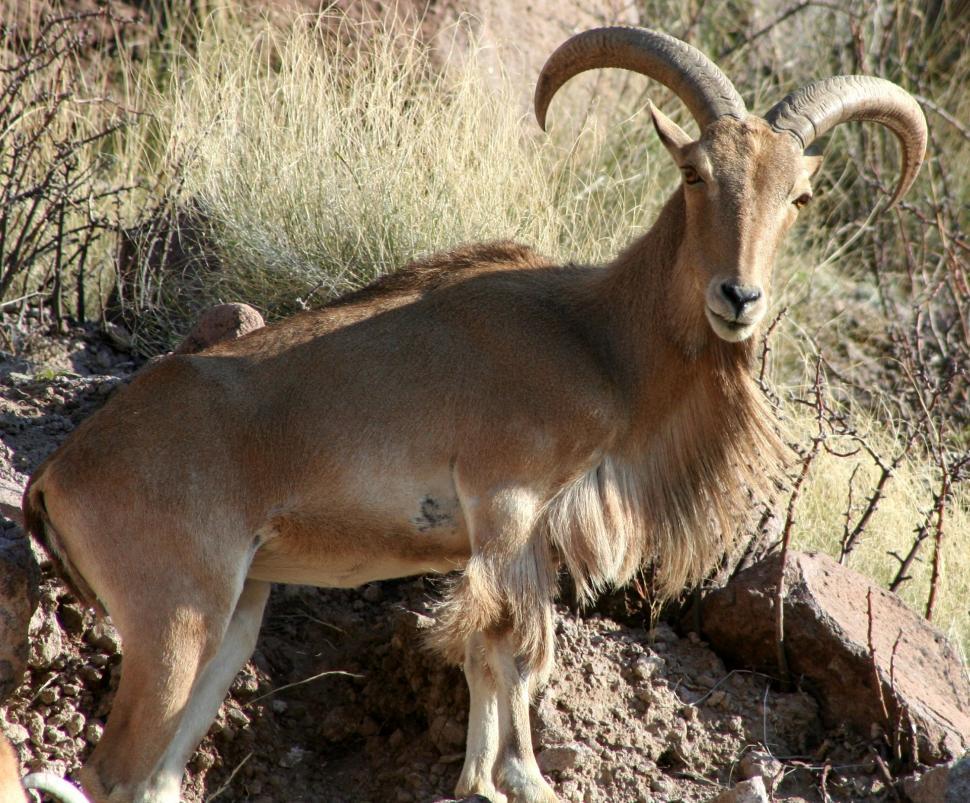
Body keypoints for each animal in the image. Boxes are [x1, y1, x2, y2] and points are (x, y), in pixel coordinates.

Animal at [21, 26, 926, 803]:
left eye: (799, 195)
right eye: (696, 173)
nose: (739, 297)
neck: (595, 337)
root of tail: (59, 473)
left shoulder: (519, 536)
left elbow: (492, 653)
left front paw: (479, 779)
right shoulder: (507, 503)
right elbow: (517, 647)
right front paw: (522, 776)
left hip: (235, 618)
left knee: (152, 776)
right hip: (175, 619)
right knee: (109, 766)